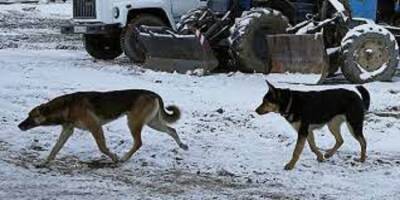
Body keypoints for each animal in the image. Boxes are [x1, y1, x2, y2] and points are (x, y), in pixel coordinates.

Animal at [17, 90, 189, 165]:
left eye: (31, 116)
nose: (19, 126)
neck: (66, 107)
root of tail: (153, 93)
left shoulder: (95, 127)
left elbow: (103, 148)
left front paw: (113, 157)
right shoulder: (67, 130)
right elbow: (55, 148)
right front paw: (45, 162)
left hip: (133, 122)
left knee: (138, 142)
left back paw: (124, 158)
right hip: (152, 122)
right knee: (172, 130)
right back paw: (183, 145)